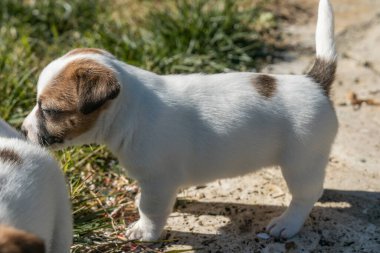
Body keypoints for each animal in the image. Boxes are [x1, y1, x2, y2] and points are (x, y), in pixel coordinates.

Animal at [23, 0, 338, 241]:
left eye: (48, 110)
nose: (24, 130)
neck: (129, 111)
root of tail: (314, 82)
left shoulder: (157, 181)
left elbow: (150, 209)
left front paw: (144, 232)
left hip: (299, 161)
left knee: (303, 196)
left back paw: (287, 224)